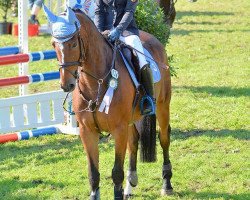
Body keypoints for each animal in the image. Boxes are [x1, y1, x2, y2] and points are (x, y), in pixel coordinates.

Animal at [46, 6, 173, 200]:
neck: (95, 84)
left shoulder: (118, 129)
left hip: (162, 105)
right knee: (133, 142)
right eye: (54, 44)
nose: (66, 85)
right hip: (132, 119)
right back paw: (130, 186)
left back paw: (167, 184)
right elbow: (93, 173)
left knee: (164, 138)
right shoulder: (87, 132)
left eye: (73, 44)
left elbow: (116, 173)